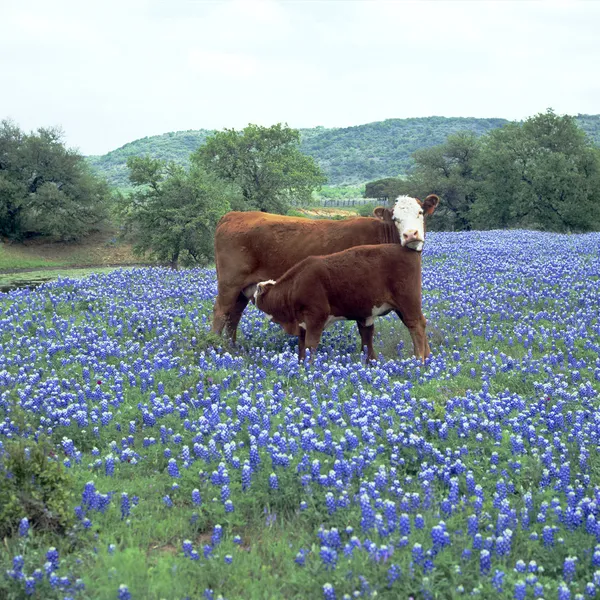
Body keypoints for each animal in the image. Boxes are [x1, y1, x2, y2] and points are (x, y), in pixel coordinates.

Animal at [212, 195, 440, 344]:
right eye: (395, 218)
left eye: (420, 212)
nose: (411, 235)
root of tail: (232, 215)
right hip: (229, 284)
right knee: (221, 313)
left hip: (244, 288)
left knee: (234, 316)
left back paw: (232, 349)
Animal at [253, 241, 432, 364]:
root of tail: (409, 250)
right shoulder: (303, 323)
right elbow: (301, 346)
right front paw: (301, 364)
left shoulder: (315, 316)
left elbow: (311, 345)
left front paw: (309, 367)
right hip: (401, 307)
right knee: (420, 324)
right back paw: (428, 357)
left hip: (408, 302)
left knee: (415, 326)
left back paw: (419, 359)